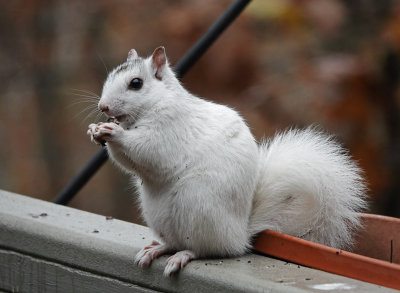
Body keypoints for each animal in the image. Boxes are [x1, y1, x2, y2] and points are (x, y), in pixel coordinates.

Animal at [88, 46, 368, 276]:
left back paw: (183, 256)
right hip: (160, 217)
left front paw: (113, 133)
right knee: (177, 242)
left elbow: (147, 151)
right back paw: (158, 249)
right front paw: (95, 130)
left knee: (207, 249)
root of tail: (240, 235)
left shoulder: (169, 130)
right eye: (110, 76)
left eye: (136, 83)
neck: (156, 104)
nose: (103, 107)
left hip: (198, 207)